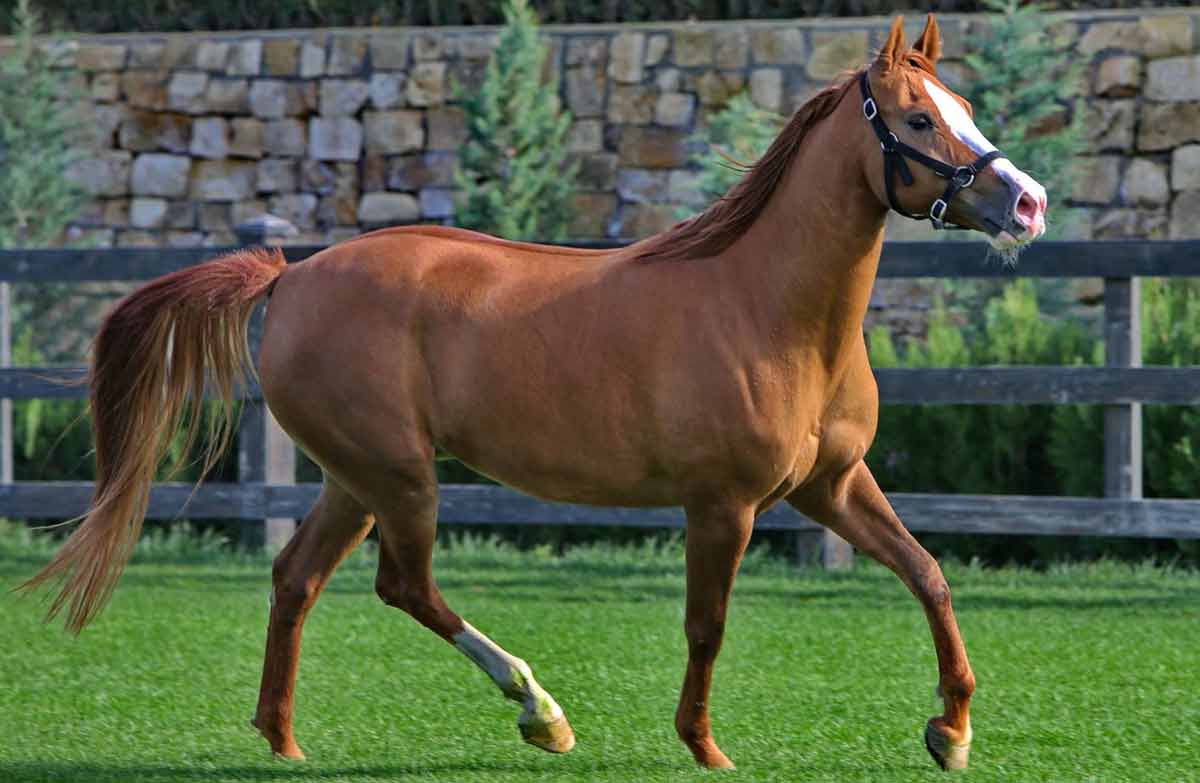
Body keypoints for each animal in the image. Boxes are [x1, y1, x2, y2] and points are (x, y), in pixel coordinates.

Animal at [24, 15, 1046, 772]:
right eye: (917, 119)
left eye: (963, 105)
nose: (1028, 203)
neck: (769, 307)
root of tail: (291, 275)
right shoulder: (722, 504)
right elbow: (706, 625)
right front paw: (705, 747)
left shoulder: (831, 486)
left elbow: (927, 572)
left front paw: (950, 733)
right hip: (400, 477)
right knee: (404, 584)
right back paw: (538, 709)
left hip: (354, 478)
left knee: (295, 577)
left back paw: (283, 738)